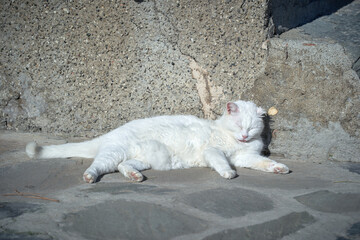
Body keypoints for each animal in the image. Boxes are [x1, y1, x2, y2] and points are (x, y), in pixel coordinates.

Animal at [25, 100, 290, 183]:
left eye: (251, 127)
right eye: (239, 126)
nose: (245, 135)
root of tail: (111, 133)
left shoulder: (246, 157)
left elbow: (263, 163)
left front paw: (278, 168)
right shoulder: (213, 151)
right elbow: (222, 162)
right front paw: (228, 173)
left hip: (145, 159)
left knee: (124, 166)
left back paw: (135, 176)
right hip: (113, 154)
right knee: (96, 166)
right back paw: (90, 177)